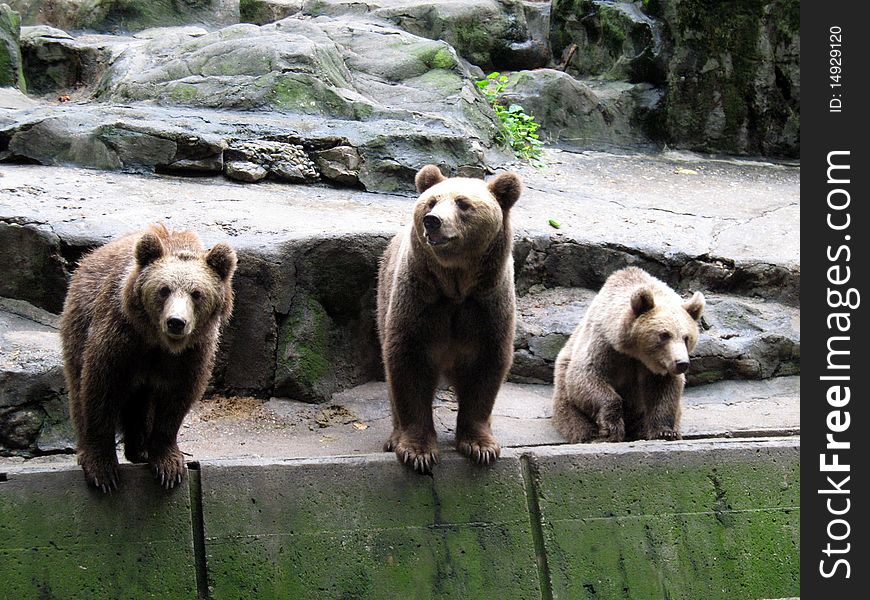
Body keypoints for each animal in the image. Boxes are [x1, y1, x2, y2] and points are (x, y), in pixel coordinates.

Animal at [59, 225, 237, 492]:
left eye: (196, 293)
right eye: (164, 290)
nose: (176, 322)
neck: (158, 343)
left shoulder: (191, 355)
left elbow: (176, 400)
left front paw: (168, 464)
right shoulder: (120, 339)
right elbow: (101, 389)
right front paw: (102, 469)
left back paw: (141, 449)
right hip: (79, 320)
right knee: (78, 383)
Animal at [376, 163, 524, 474]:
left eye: (463, 203)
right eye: (431, 202)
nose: (432, 221)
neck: (456, 287)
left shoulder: (487, 305)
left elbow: (486, 368)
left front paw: (481, 446)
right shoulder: (421, 301)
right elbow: (408, 365)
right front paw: (417, 451)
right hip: (383, 295)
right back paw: (394, 437)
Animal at [556, 268, 704, 440]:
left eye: (686, 337)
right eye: (664, 335)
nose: (681, 363)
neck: (635, 353)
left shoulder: (659, 369)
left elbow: (665, 391)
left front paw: (665, 431)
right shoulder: (604, 345)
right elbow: (587, 376)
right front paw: (611, 429)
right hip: (564, 381)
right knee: (573, 415)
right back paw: (590, 435)